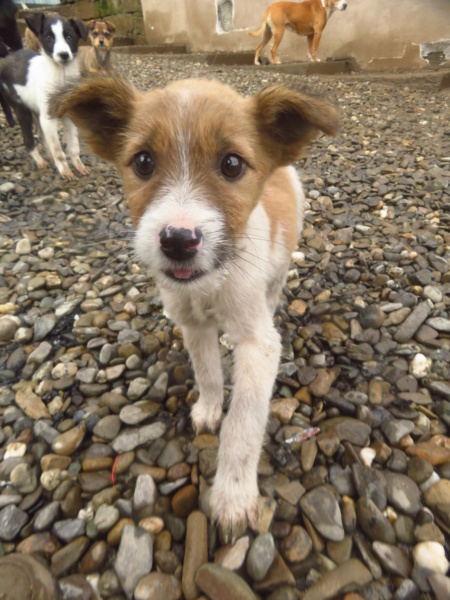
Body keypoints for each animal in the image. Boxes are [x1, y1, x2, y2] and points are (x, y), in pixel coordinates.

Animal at [0, 12, 89, 179]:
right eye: (48, 37)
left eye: (69, 37)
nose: (63, 55)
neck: (61, 75)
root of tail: (6, 58)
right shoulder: (48, 119)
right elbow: (58, 150)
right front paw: (65, 170)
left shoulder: (68, 115)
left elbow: (74, 146)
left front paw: (78, 165)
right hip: (22, 109)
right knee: (28, 140)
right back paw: (40, 160)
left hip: (35, 110)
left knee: (41, 136)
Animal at [50, 75, 338, 540]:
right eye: (143, 162)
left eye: (233, 165)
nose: (178, 240)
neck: (211, 284)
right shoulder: (192, 325)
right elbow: (207, 372)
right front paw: (208, 408)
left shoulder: (258, 344)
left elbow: (243, 422)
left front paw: (233, 496)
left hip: (280, 266)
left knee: (274, 290)